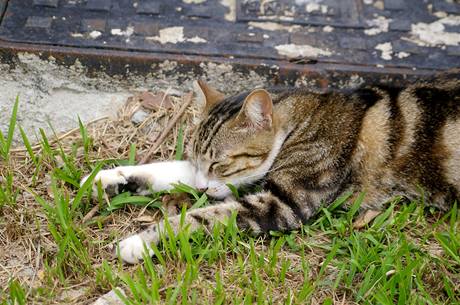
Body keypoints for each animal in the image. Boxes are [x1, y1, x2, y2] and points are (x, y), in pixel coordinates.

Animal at [82, 79, 460, 264]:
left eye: (220, 163)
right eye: (200, 160)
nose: (203, 188)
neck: (302, 119)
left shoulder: (283, 203)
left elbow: (200, 218)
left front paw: (139, 242)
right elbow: (172, 171)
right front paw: (109, 177)